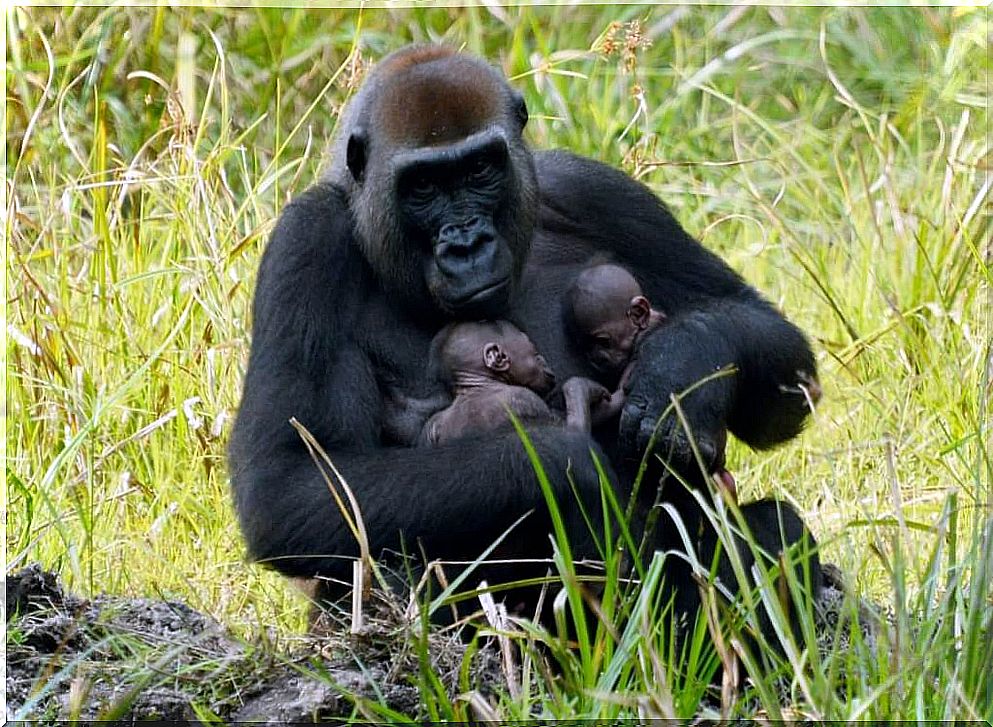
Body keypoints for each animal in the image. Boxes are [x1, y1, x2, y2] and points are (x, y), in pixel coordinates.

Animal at [420, 322, 608, 446]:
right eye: (535, 354)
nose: (543, 359)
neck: (477, 385)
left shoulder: (431, 426)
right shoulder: (526, 399)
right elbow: (573, 436)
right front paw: (583, 387)